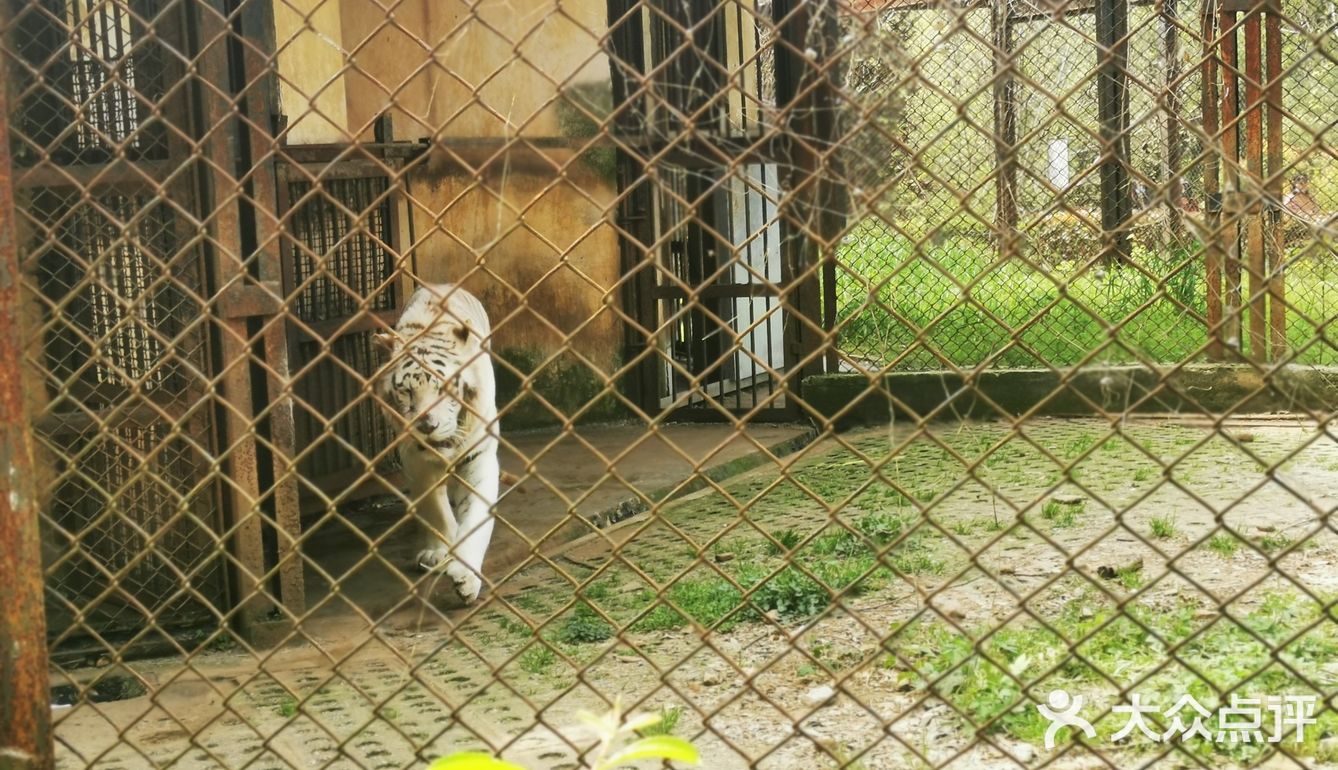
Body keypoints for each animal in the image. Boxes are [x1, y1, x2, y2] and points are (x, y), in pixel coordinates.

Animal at [374, 281, 500, 602]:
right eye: (406, 391)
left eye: (444, 387)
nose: (427, 426)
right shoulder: (415, 460)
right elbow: (436, 509)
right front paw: (439, 551)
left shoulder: (479, 457)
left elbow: (475, 518)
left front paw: (466, 577)